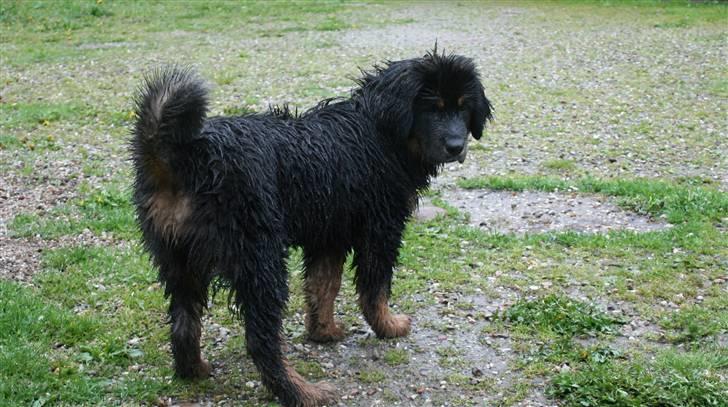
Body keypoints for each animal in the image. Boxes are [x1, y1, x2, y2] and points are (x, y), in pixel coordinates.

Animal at [132, 49, 494, 406]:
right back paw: (302, 391)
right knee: (261, 341)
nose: (456, 146)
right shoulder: (381, 229)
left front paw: (324, 331)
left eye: (463, 107)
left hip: (179, 260)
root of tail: (188, 156)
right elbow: (374, 289)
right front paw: (389, 326)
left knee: (184, 324)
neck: (381, 133)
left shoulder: (330, 234)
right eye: (432, 108)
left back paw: (194, 369)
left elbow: (324, 287)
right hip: (259, 259)